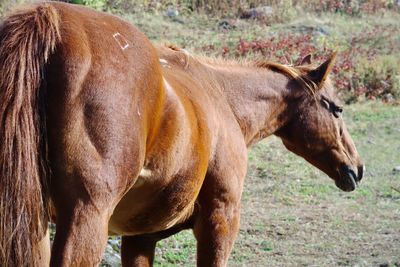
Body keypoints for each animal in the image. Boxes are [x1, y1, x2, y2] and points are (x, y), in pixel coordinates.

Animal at [0, 2, 362, 267]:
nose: (357, 169)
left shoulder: (139, 238)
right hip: (83, 220)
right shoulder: (220, 221)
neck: (223, 96)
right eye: (337, 108)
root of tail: (51, 20)